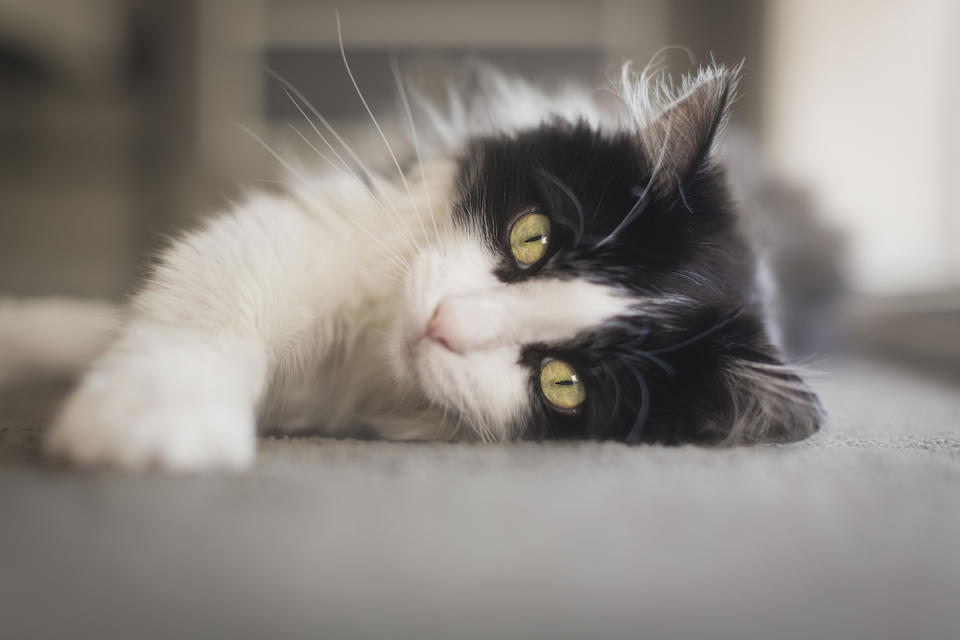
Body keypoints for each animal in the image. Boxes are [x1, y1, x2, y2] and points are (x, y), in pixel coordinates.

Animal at [43, 61, 824, 470]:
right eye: (532, 238)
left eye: (564, 382)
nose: (444, 322)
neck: (367, 366)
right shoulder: (317, 234)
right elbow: (195, 313)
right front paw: (150, 420)